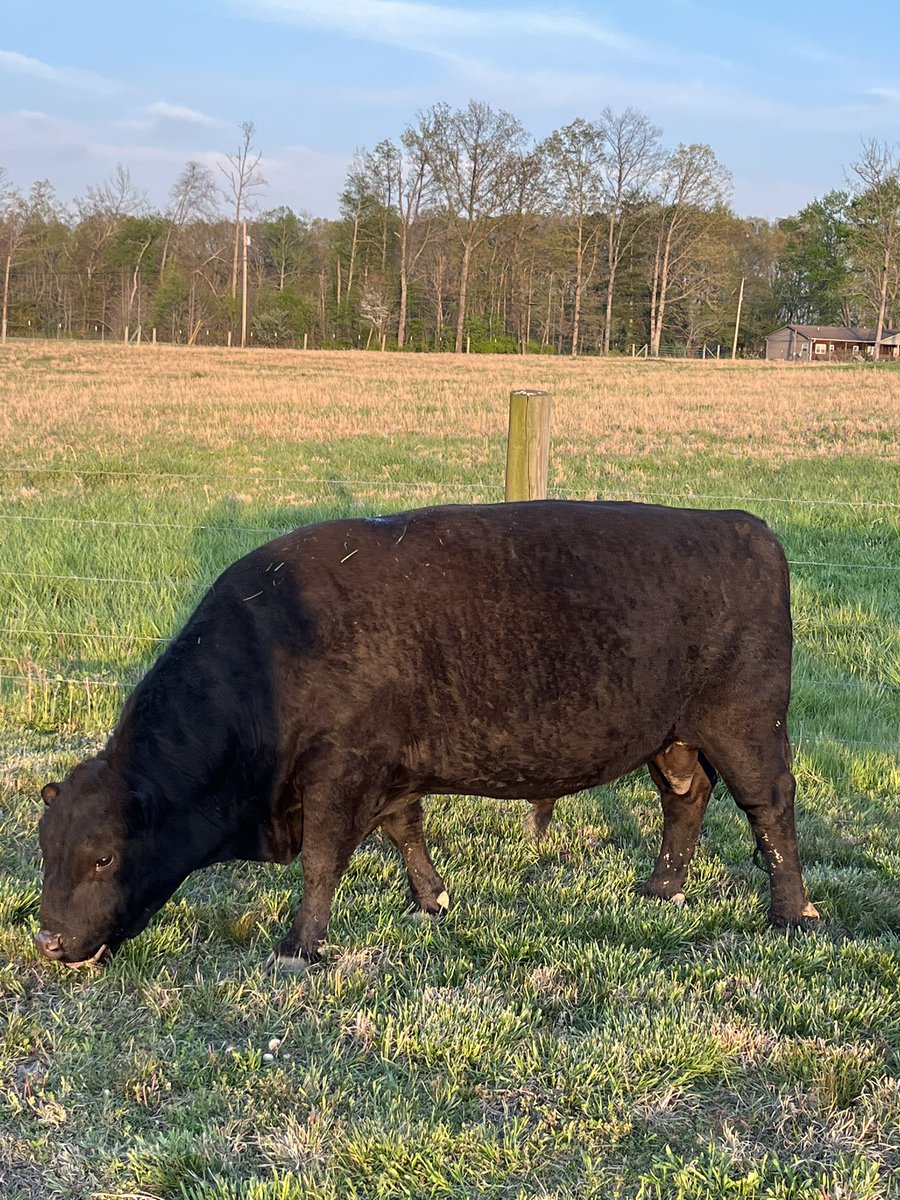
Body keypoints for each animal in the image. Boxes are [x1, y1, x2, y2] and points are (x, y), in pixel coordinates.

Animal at [36, 501, 819, 972]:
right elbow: (405, 830)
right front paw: (431, 900)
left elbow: (322, 862)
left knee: (771, 810)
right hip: (674, 738)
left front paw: (301, 945)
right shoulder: (390, 773)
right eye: (45, 850)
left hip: (746, 728)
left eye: (103, 858)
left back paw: (791, 914)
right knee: (685, 799)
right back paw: (662, 890)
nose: (47, 938)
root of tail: (742, 526)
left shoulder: (341, 773)